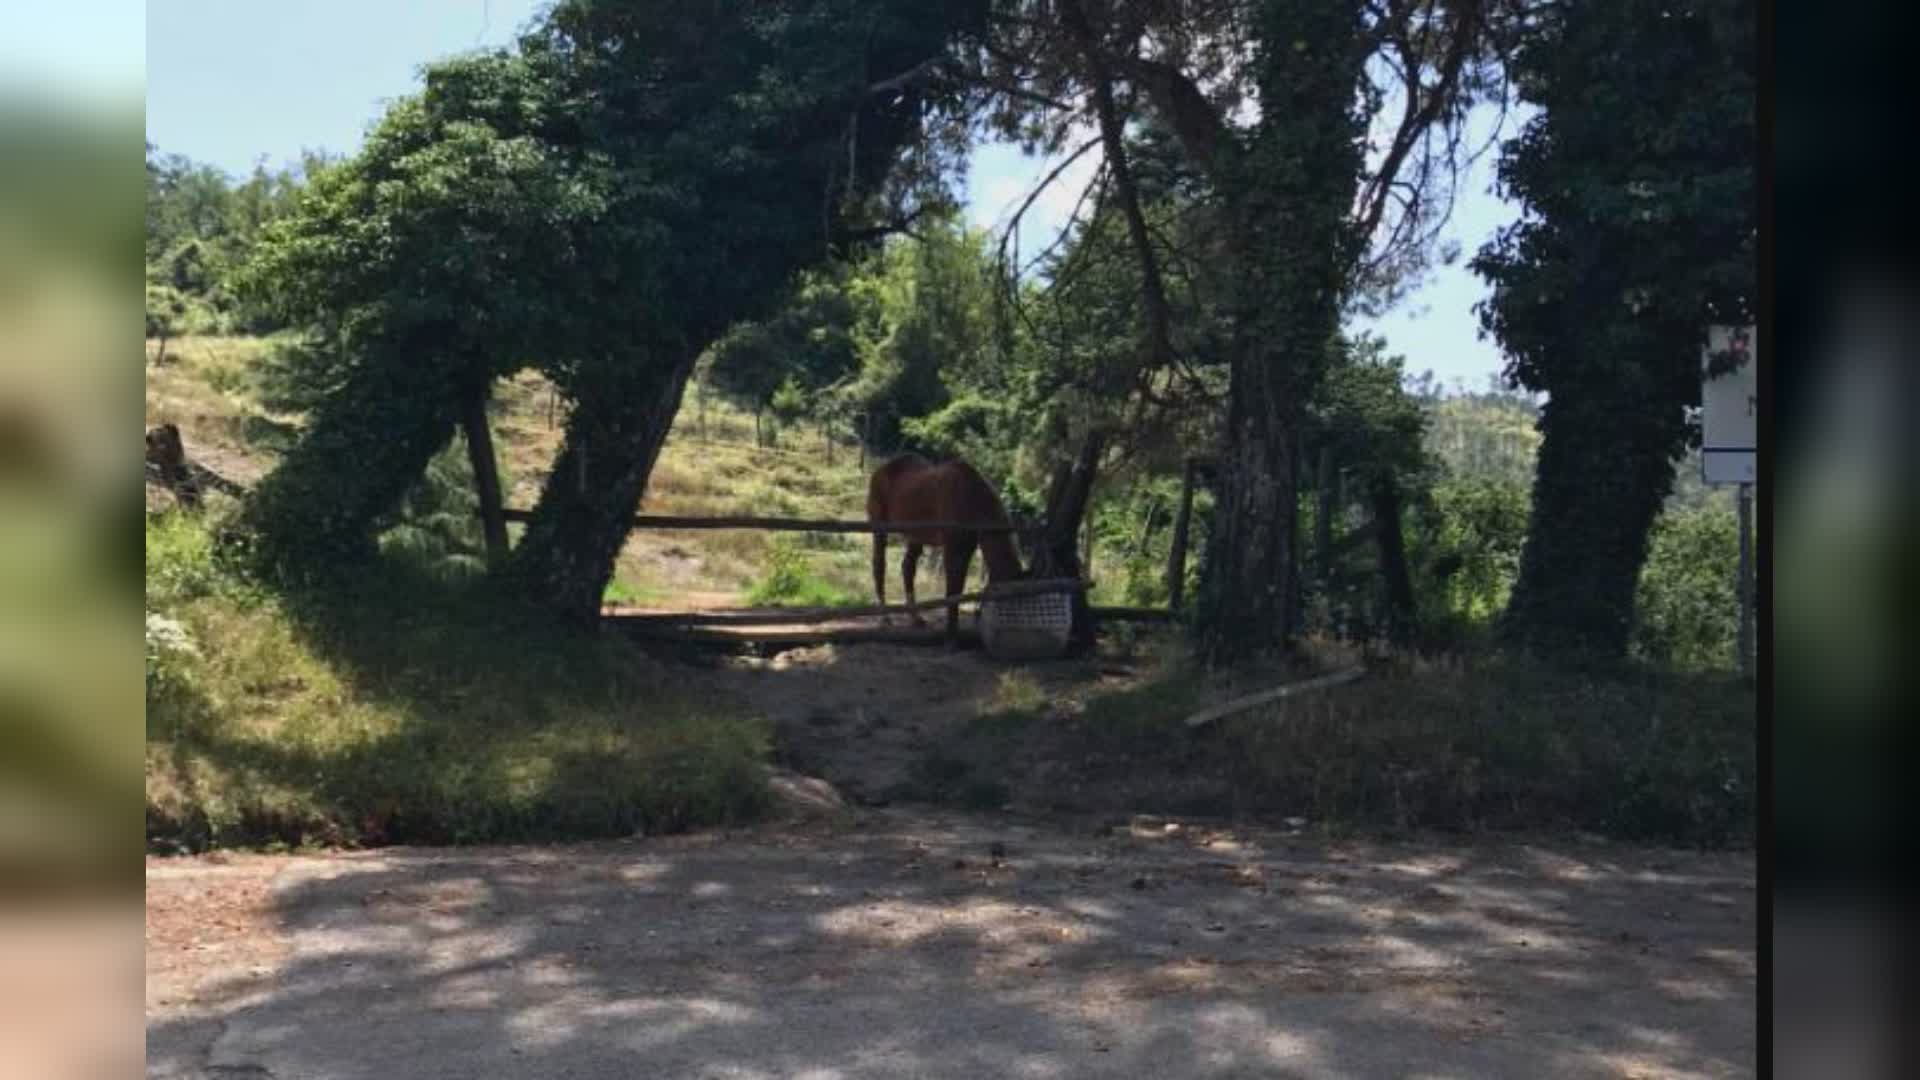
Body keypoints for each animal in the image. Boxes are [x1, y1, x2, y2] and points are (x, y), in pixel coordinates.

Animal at [867, 451, 1029, 641]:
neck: (971, 496)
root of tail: (881, 470)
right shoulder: (952, 549)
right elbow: (952, 591)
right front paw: (951, 635)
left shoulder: (967, 547)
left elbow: (957, 591)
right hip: (880, 528)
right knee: (879, 565)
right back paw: (884, 617)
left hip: (915, 536)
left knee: (907, 567)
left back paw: (916, 618)